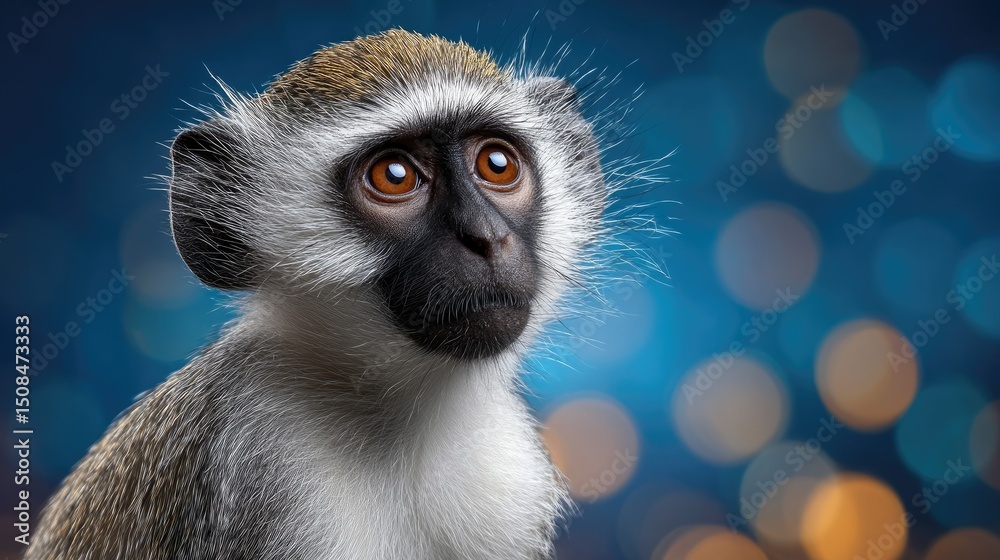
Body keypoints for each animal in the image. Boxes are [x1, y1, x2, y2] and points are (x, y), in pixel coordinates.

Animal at [26, 29, 620, 559]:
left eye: (497, 164)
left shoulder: (511, 483)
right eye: (395, 175)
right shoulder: (258, 459)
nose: (486, 237)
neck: (398, 423)